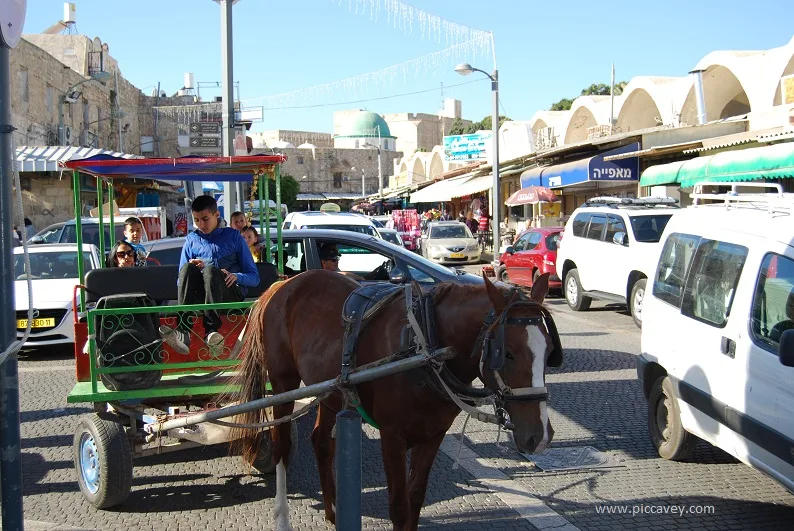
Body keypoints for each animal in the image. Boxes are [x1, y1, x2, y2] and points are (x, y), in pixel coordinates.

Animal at [232, 270, 560, 531]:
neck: (427, 345)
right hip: (283, 383)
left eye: (548, 352)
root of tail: (284, 284)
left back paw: (335, 512)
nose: (540, 437)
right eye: (507, 353)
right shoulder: (392, 436)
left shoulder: (433, 434)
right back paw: (283, 516)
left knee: (322, 443)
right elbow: (399, 507)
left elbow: (415, 498)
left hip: (329, 390)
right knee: (282, 447)